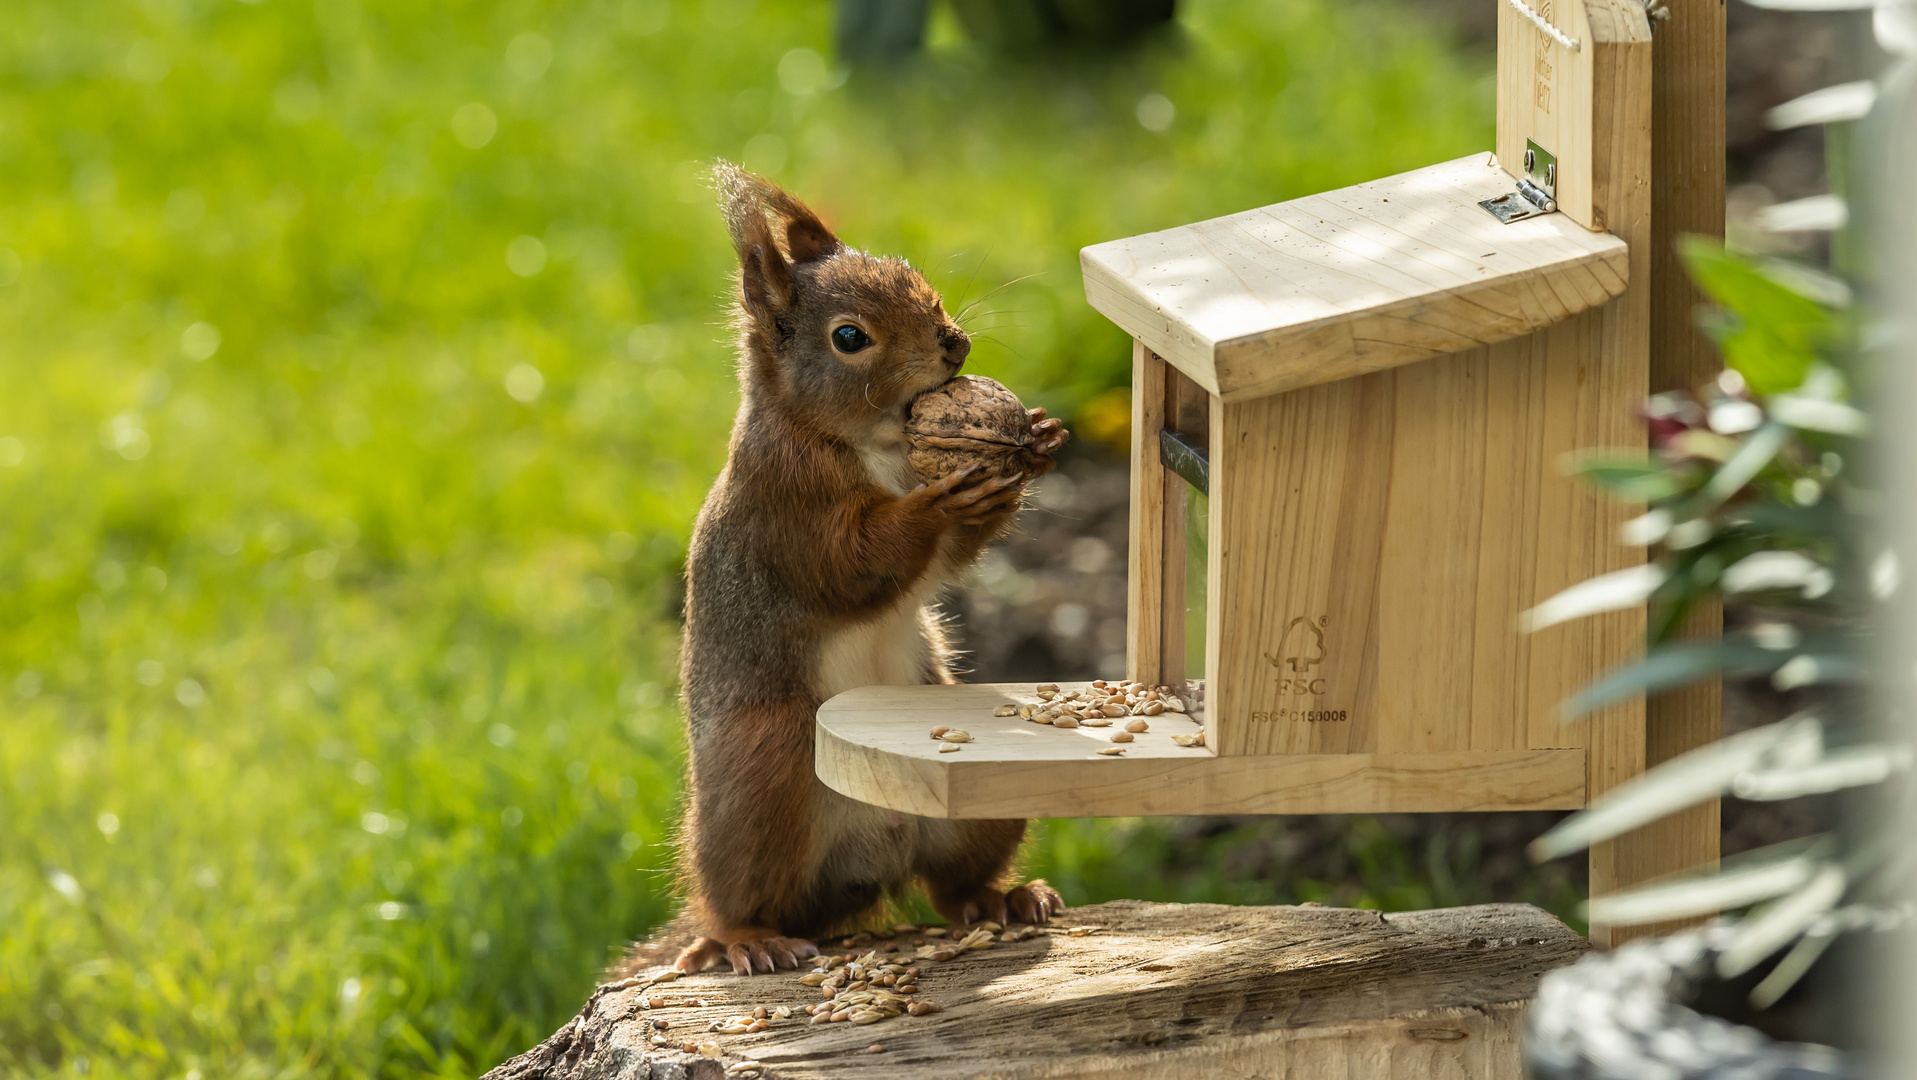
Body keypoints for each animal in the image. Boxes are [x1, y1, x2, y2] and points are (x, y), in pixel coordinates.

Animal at [670, 163, 1065, 982]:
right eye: (849, 338)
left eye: (918, 281)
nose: (956, 342)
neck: (878, 446)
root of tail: (866, 862)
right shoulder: (784, 507)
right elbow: (851, 566)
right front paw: (936, 503)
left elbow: (947, 561)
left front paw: (1037, 439)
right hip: (765, 773)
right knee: (734, 899)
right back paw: (748, 940)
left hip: (977, 810)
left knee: (952, 888)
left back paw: (1006, 898)